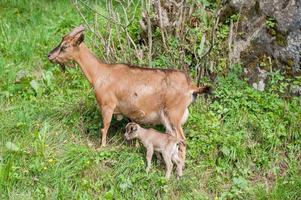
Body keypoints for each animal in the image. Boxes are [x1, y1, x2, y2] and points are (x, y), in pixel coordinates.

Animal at [47, 25, 211, 161]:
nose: (49, 56)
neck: (100, 73)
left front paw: (101, 148)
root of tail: (191, 86)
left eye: (65, 46)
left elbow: (104, 128)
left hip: (173, 115)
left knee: (182, 140)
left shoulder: (107, 105)